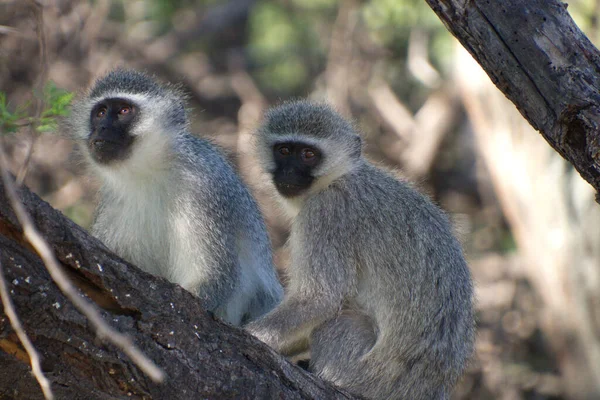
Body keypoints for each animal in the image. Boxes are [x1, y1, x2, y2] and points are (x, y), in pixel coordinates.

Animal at [68, 69, 284, 324]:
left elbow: (215, 277)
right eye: (100, 113)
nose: (100, 129)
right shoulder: (112, 208)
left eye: (124, 111)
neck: (147, 174)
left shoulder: (204, 187)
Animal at [246, 101, 476, 400]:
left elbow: (319, 299)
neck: (340, 177)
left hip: (363, 375)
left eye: (309, 155)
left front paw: (250, 333)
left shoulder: (326, 213)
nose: (288, 173)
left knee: (339, 323)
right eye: (284, 150)